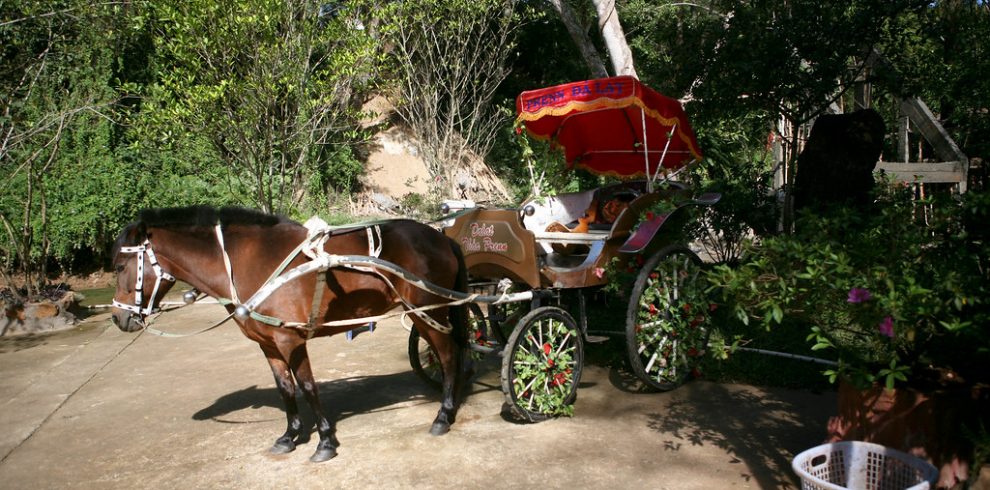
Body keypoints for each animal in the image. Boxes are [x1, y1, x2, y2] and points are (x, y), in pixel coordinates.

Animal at [112, 205, 472, 462]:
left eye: (119, 266)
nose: (118, 317)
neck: (249, 262)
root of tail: (442, 238)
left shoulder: (291, 340)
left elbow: (309, 387)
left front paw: (325, 442)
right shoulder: (269, 345)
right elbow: (286, 388)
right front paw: (289, 437)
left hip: (428, 313)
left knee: (448, 355)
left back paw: (443, 415)